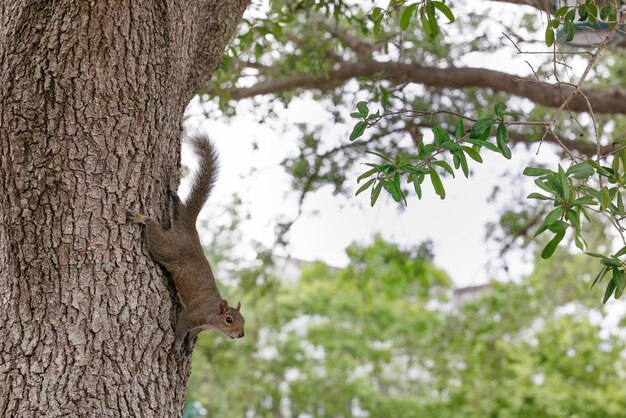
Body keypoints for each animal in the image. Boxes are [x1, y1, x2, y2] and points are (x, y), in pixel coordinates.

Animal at [127, 134, 244, 352]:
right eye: (229, 320)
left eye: (244, 320)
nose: (241, 334)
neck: (212, 316)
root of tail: (188, 230)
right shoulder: (192, 315)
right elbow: (182, 327)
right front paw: (178, 344)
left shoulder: (201, 326)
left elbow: (193, 333)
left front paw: (189, 343)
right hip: (166, 249)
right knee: (152, 228)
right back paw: (141, 218)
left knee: (177, 208)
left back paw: (174, 195)